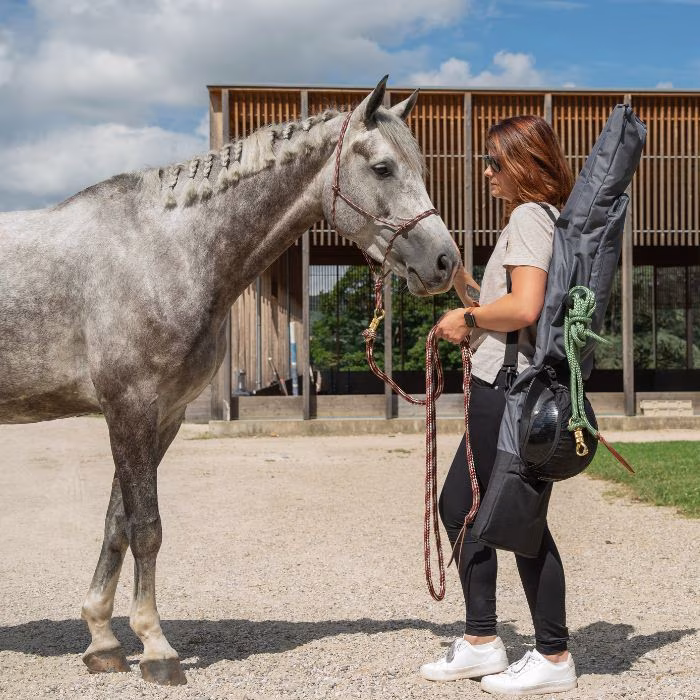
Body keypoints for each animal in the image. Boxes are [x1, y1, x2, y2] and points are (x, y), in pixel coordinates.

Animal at [0, 76, 460, 685]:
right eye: (383, 168)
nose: (445, 261)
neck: (166, 249)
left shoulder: (163, 417)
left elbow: (117, 522)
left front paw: (102, 640)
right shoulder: (130, 407)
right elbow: (146, 526)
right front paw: (156, 647)